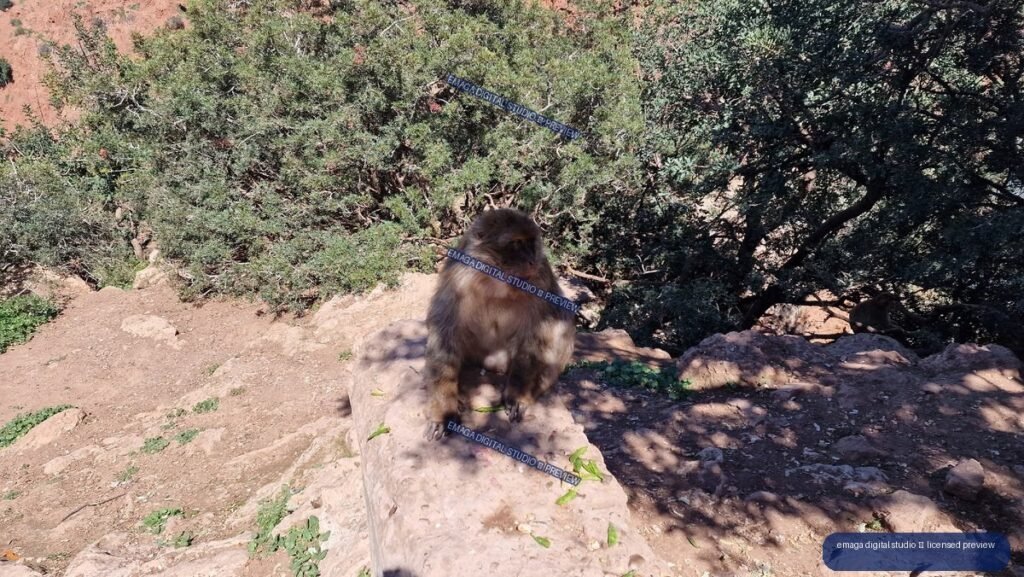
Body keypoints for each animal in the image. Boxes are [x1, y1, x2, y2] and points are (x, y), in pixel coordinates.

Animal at [423, 208, 576, 441]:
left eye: (531, 243)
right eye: (516, 243)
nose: (531, 260)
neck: (497, 280)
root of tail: (495, 365)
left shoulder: (541, 276)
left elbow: (539, 331)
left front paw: (518, 395)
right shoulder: (458, 277)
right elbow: (444, 331)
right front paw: (444, 411)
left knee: (562, 316)